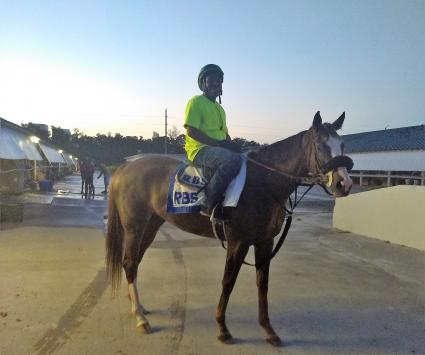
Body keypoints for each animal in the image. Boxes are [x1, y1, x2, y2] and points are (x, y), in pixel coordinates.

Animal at [105, 112, 352, 348]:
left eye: (342, 145)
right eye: (320, 145)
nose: (344, 184)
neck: (262, 182)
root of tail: (125, 167)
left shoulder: (265, 242)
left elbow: (263, 284)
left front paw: (269, 331)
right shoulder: (238, 242)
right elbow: (228, 281)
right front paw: (223, 329)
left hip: (151, 225)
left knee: (134, 262)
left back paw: (138, 308)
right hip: (134, 226)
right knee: (129, 263)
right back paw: (140, 318)